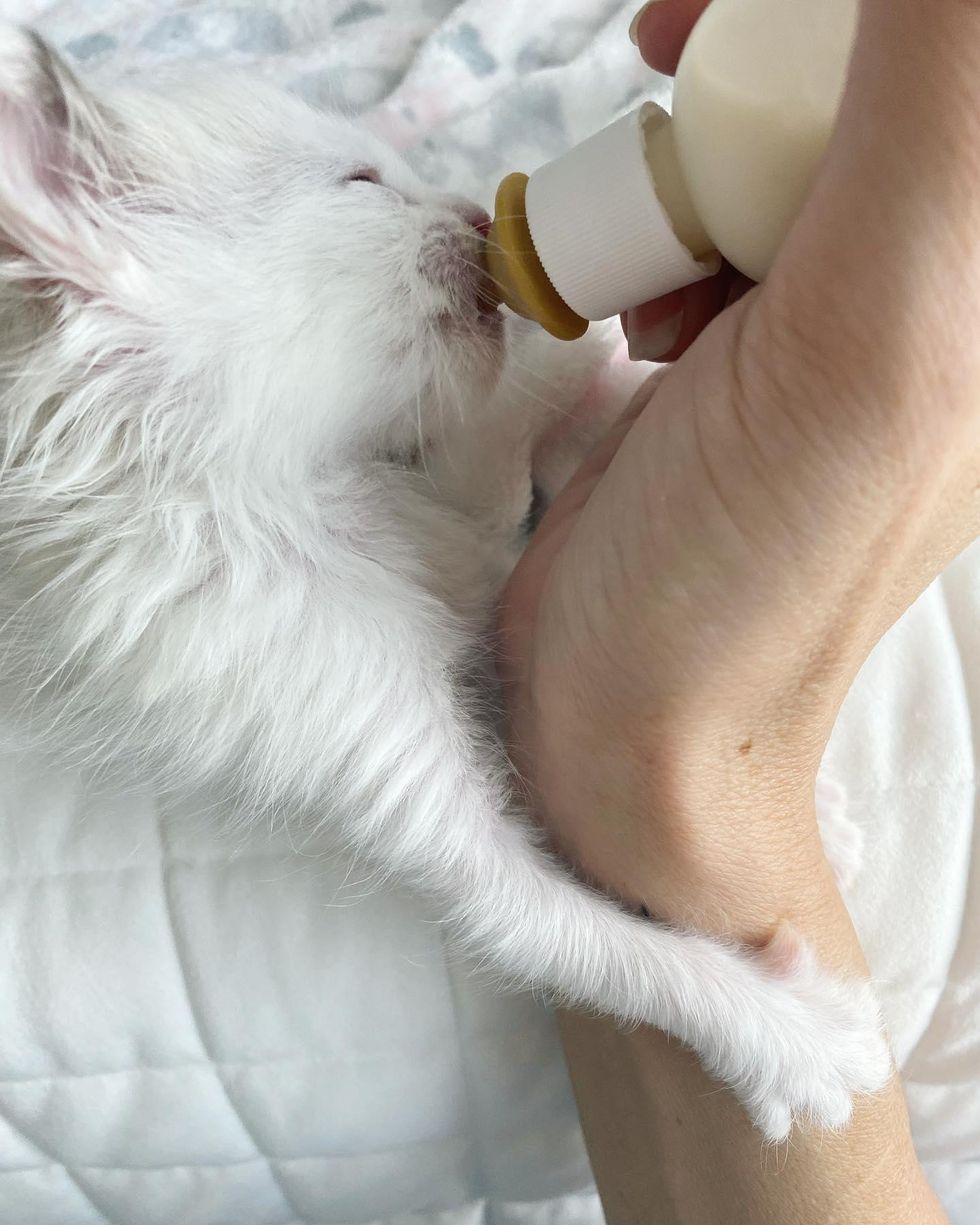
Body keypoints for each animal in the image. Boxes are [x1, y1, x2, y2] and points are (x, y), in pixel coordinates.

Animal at [0, 26, 886, 1136]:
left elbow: (491, 497)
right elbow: (559, 933)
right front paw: (791, 1038)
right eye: (362, 182)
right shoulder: (327, 715)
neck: (286, 486)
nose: (471, 209)